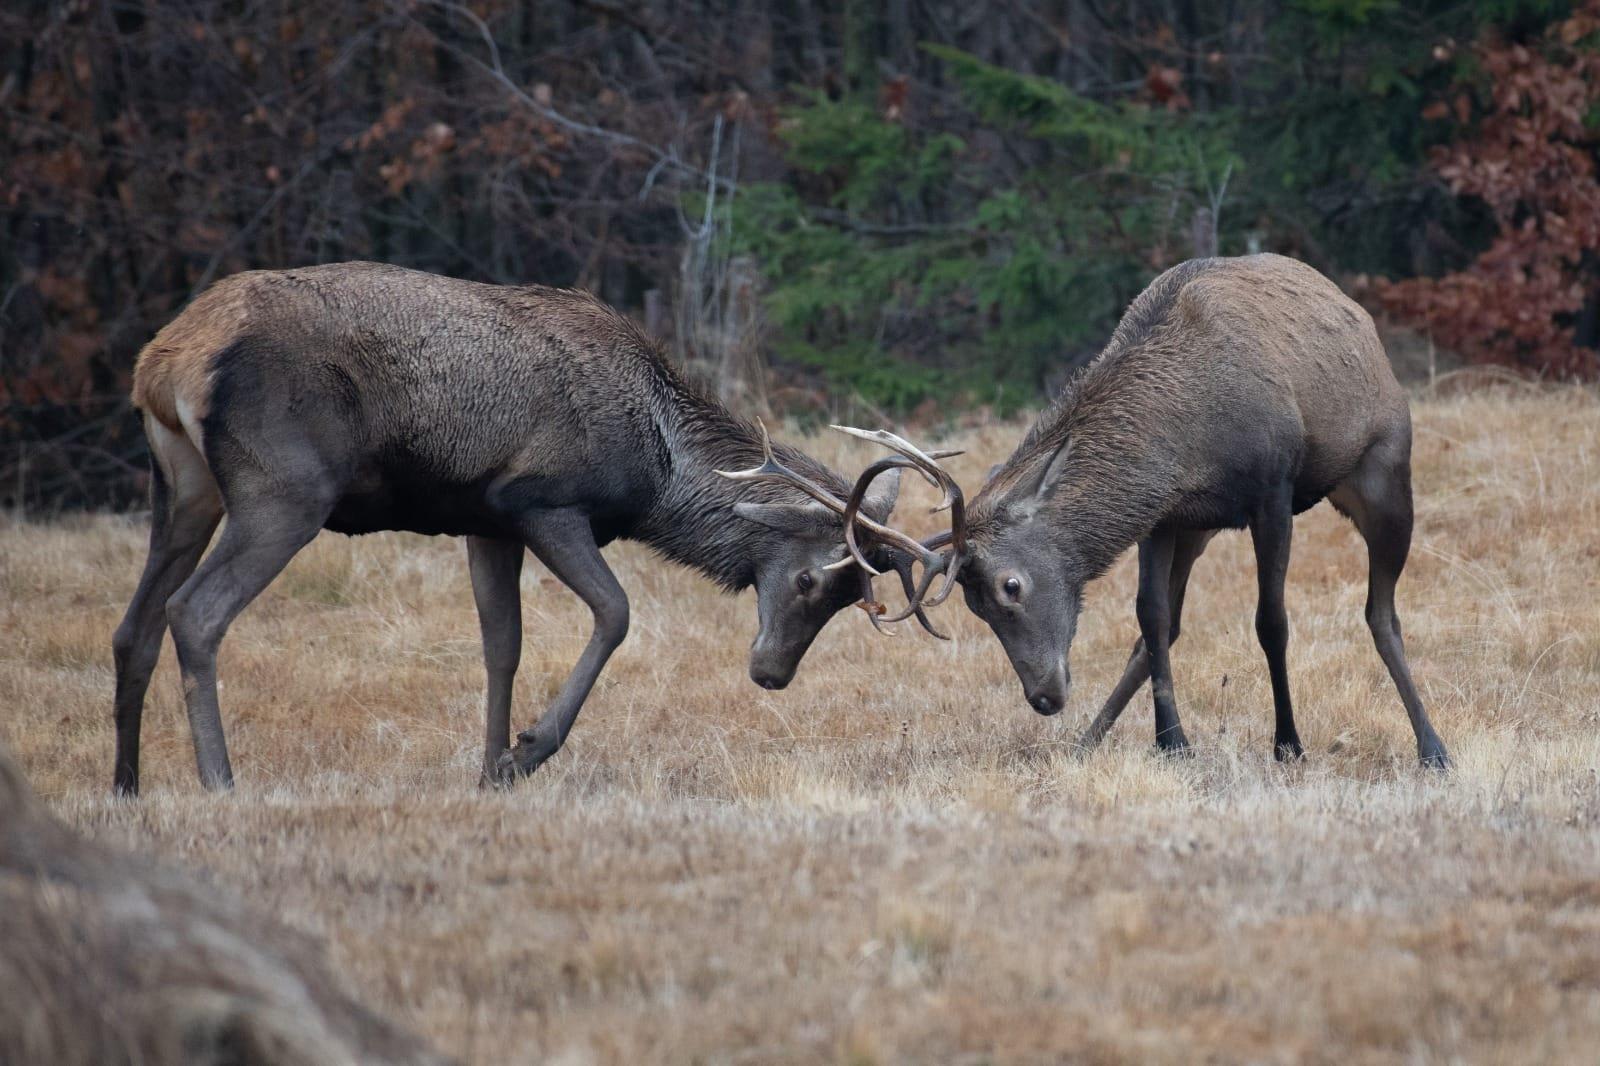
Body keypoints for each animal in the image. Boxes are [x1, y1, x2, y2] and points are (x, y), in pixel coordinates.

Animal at [114, 261, 945, 794]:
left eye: (850, 597)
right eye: (807, 578)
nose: (770, 673)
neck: (654, 470)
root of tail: (164, 364)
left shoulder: (483, 523)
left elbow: (500, 646)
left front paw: (489, 771)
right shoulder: (539, 501)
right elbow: (616, 612)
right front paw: (527, 753)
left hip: (183, 488)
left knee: (135, 625)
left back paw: (127, 784)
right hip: (283, 489)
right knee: (195, 611)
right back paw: (220, 781)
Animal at [841, 254, 1450, 767]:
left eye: (1011, 586)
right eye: (974, 607)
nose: (1043, 697)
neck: (1190, 439)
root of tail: (1356, 314)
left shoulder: (1272, 493)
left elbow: (1271, 621)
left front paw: (1287, 744)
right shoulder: (1162, 517)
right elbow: (1152, 619)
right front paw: (1172, 741)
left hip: (1385, 471)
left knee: (1381, 612)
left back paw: (1433, 746)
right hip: (1200, 531)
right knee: (1169, 625)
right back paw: (1087, 741)